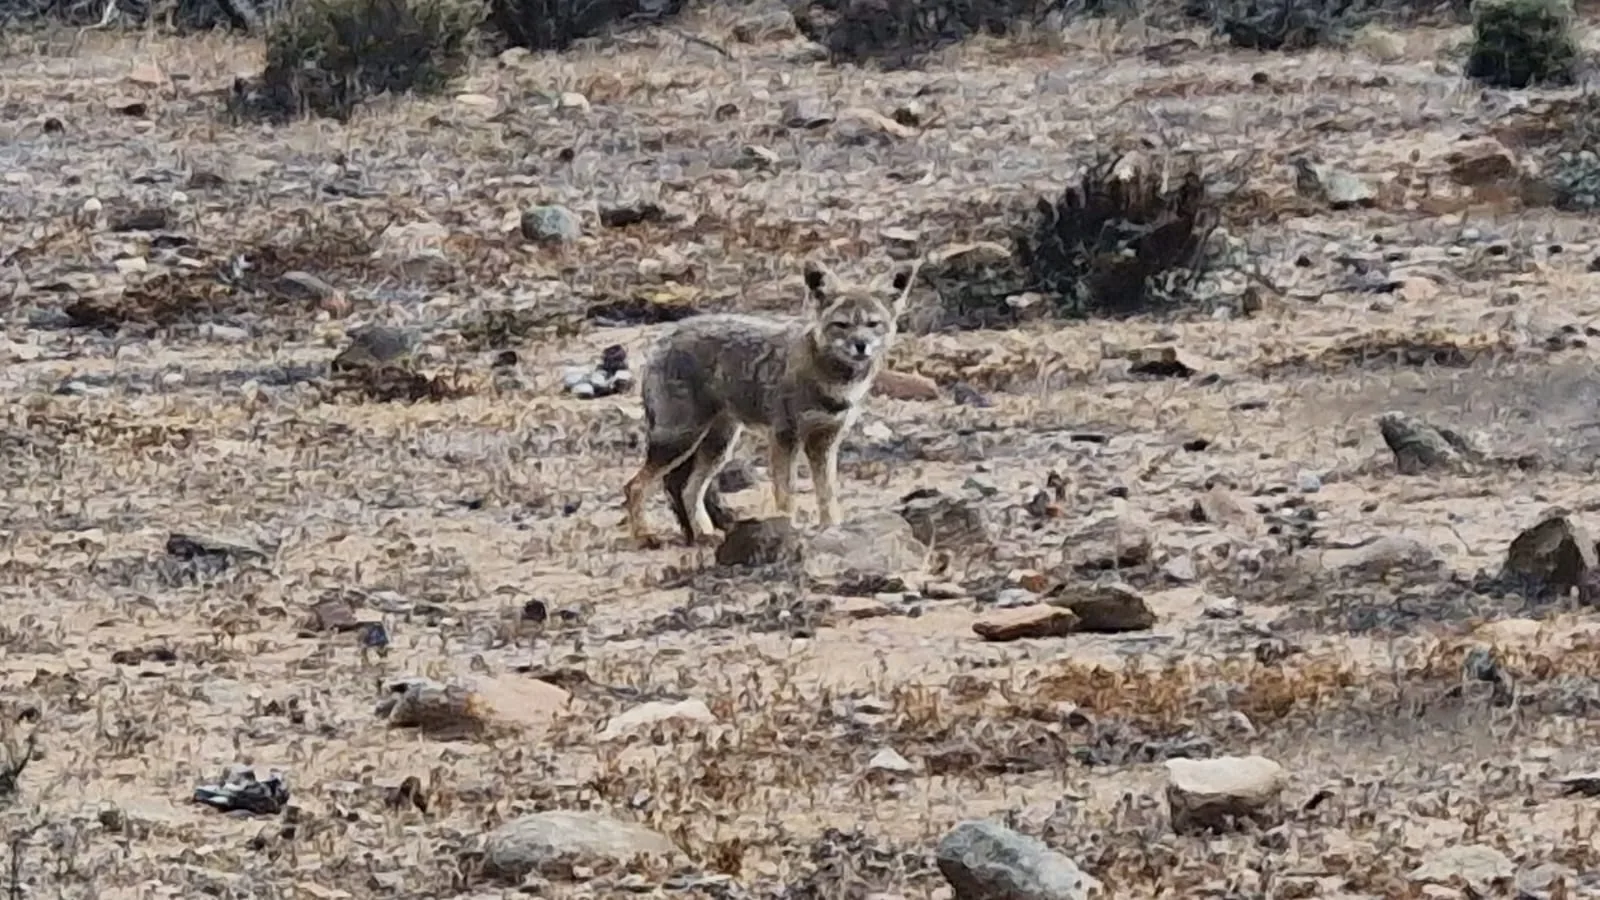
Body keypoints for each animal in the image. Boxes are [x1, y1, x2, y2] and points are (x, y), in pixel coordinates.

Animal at [623, 258, 919, 548]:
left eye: (873, 324)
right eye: (842, 325)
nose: (861, 345)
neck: (832, 380)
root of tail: (663, 338)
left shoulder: (825, 440)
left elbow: (827, 494)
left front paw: (832, 528)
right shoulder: (785, 437)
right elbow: (786, 493)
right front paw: (787, 529)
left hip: (718, 446)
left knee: (688, 490)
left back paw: (704, 534)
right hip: (680, 440)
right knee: (635, 486)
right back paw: (645, 535)